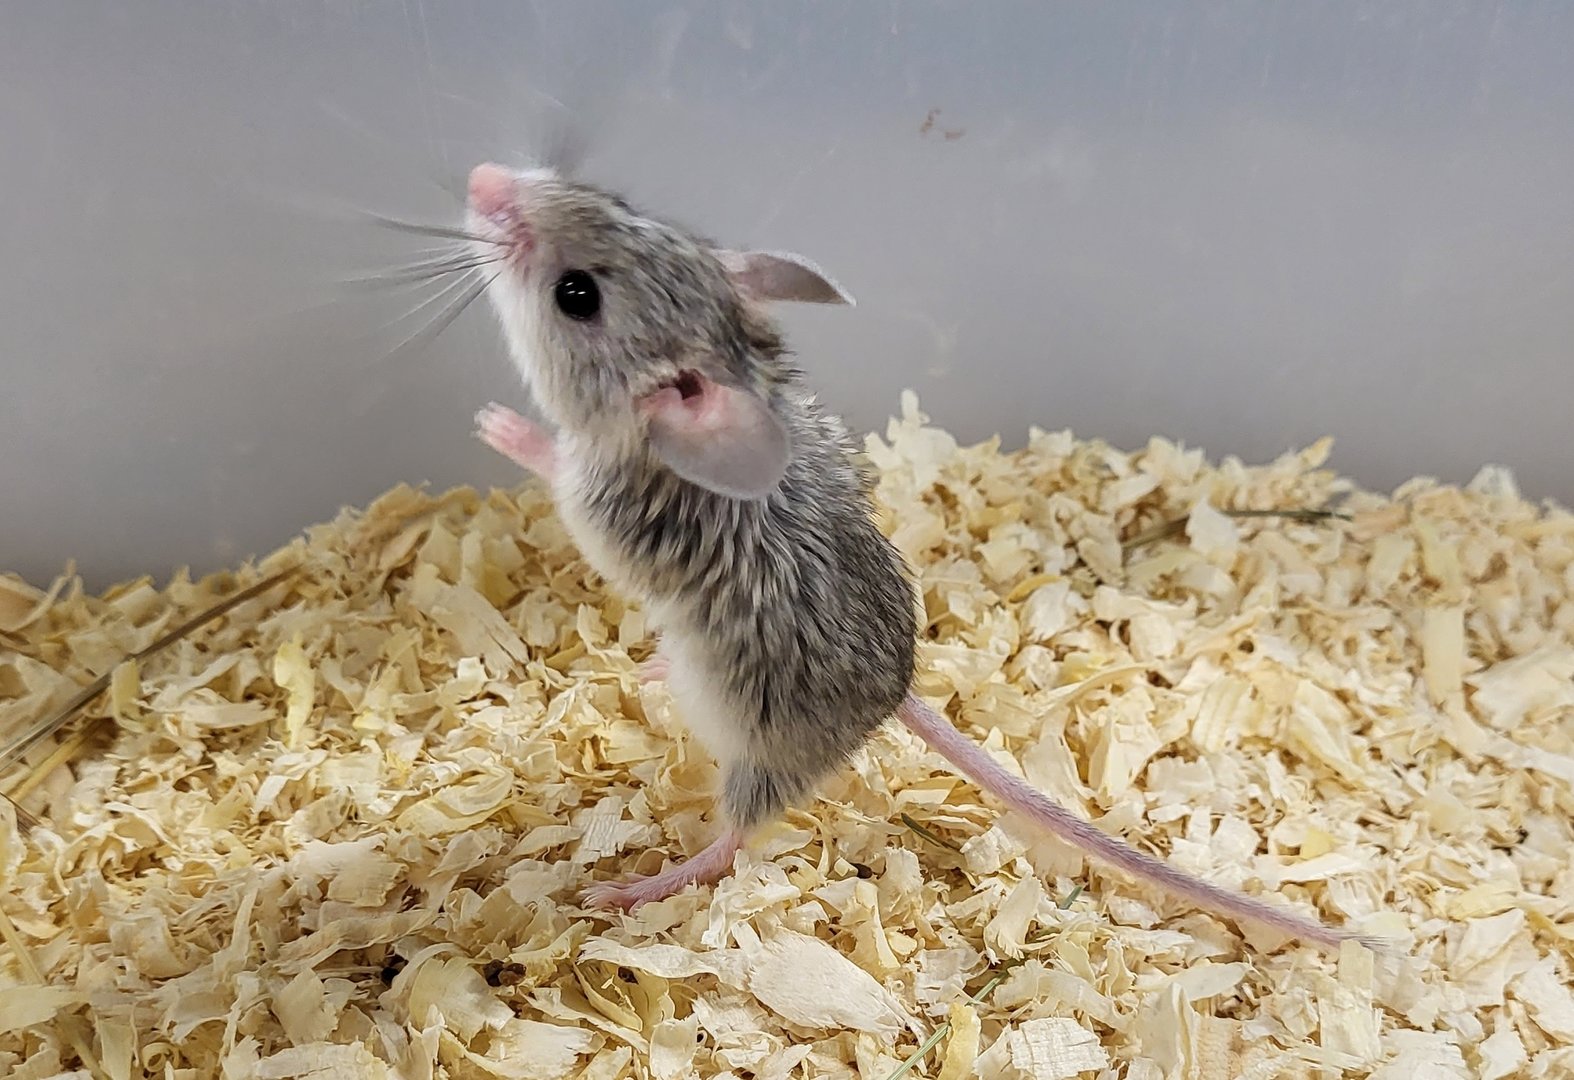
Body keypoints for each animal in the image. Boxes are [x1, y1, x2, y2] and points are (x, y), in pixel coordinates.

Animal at [464, 161, 1385, 952]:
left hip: (756, 758)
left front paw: (495, 424)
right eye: (621, 200)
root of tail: (898, 696)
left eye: (576, 296)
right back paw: (652, 672)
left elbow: (557, 464)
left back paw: (630, 889)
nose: (481, 178)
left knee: (731, 843)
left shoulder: (598, 507)